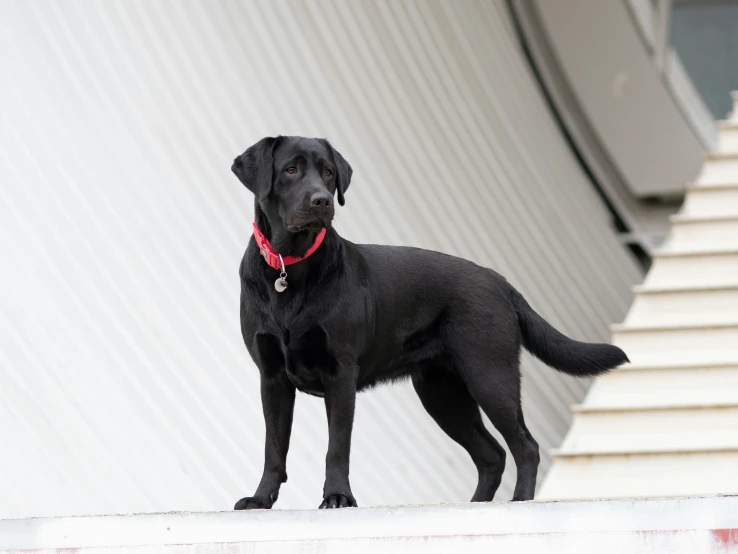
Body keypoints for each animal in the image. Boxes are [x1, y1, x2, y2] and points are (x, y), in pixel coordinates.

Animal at [231, 136, 628, 506]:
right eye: (290, 170)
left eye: (328, 173)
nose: (322, 201)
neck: (290, 268)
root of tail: (500, 281)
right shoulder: (272, 378)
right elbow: (273, 448)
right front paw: (260, 499)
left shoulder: (339, 375)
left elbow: (337, 447)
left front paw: (338, 497)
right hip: (443, 394)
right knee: (493, 455)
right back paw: (475, 506)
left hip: (489, 376)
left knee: (525, 446)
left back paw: (519, 502)